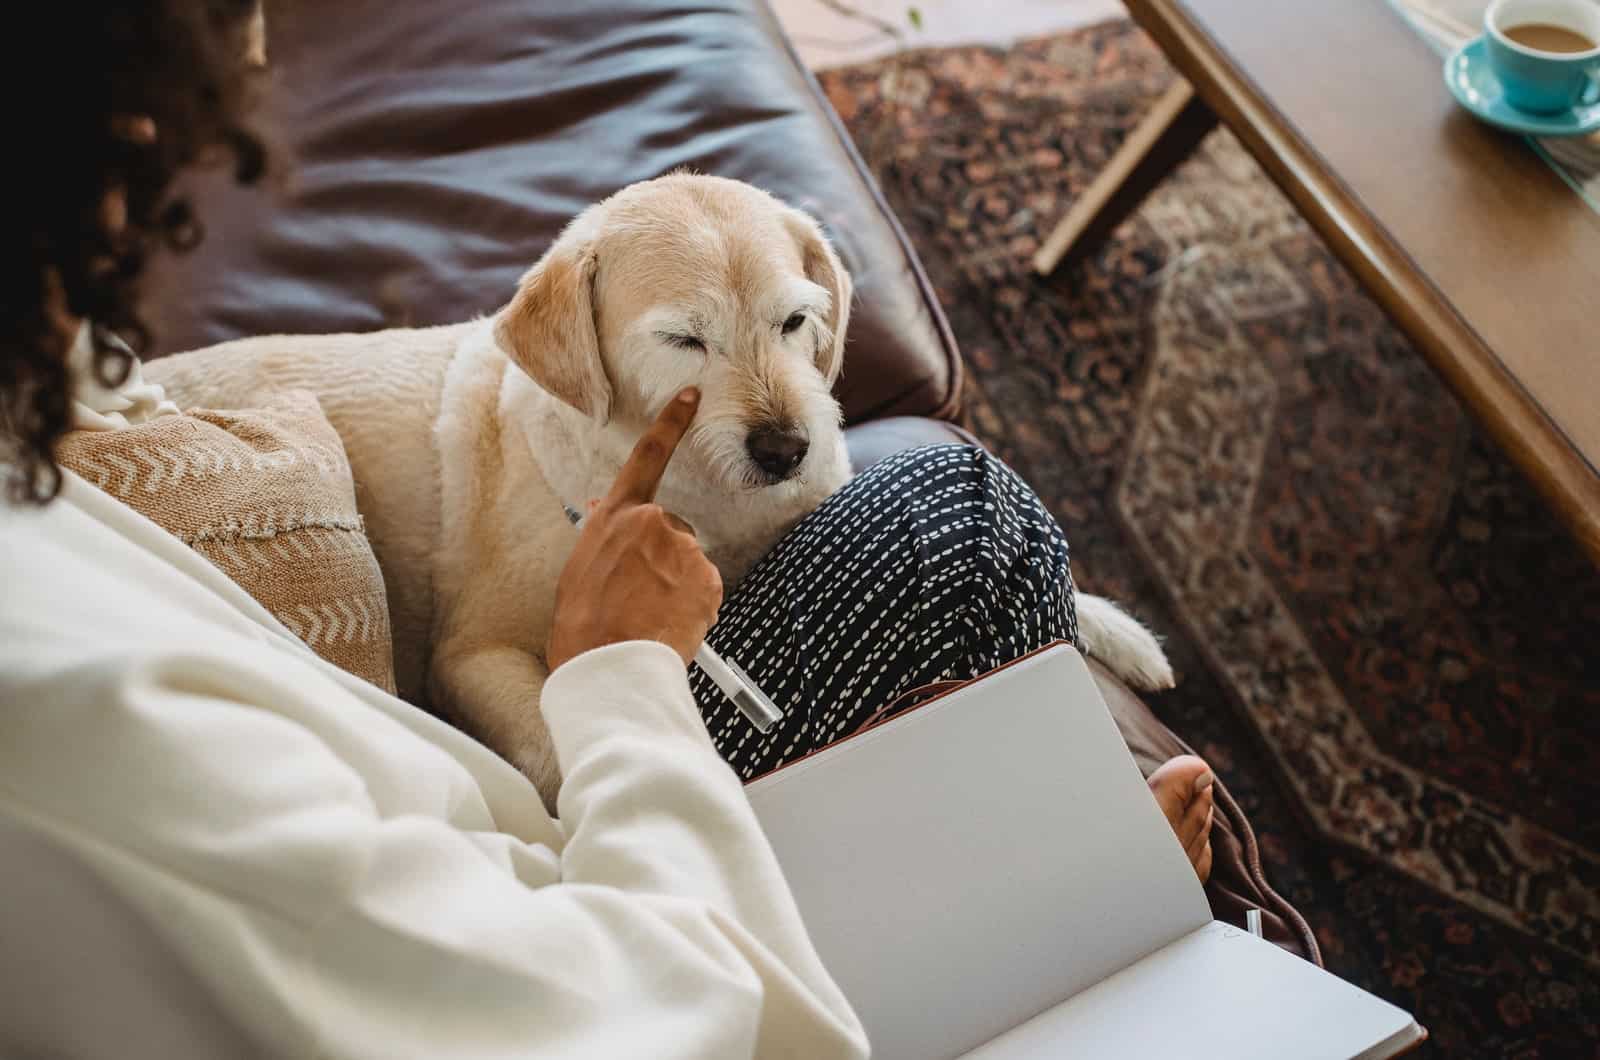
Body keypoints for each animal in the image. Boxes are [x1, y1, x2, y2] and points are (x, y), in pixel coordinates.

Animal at [152, 174, 1177, 807]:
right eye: (685, 340)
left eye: (796, 321)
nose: (786, 447)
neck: (707, 494)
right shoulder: (471, 652)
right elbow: (553, 736)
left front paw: (1116, 628)